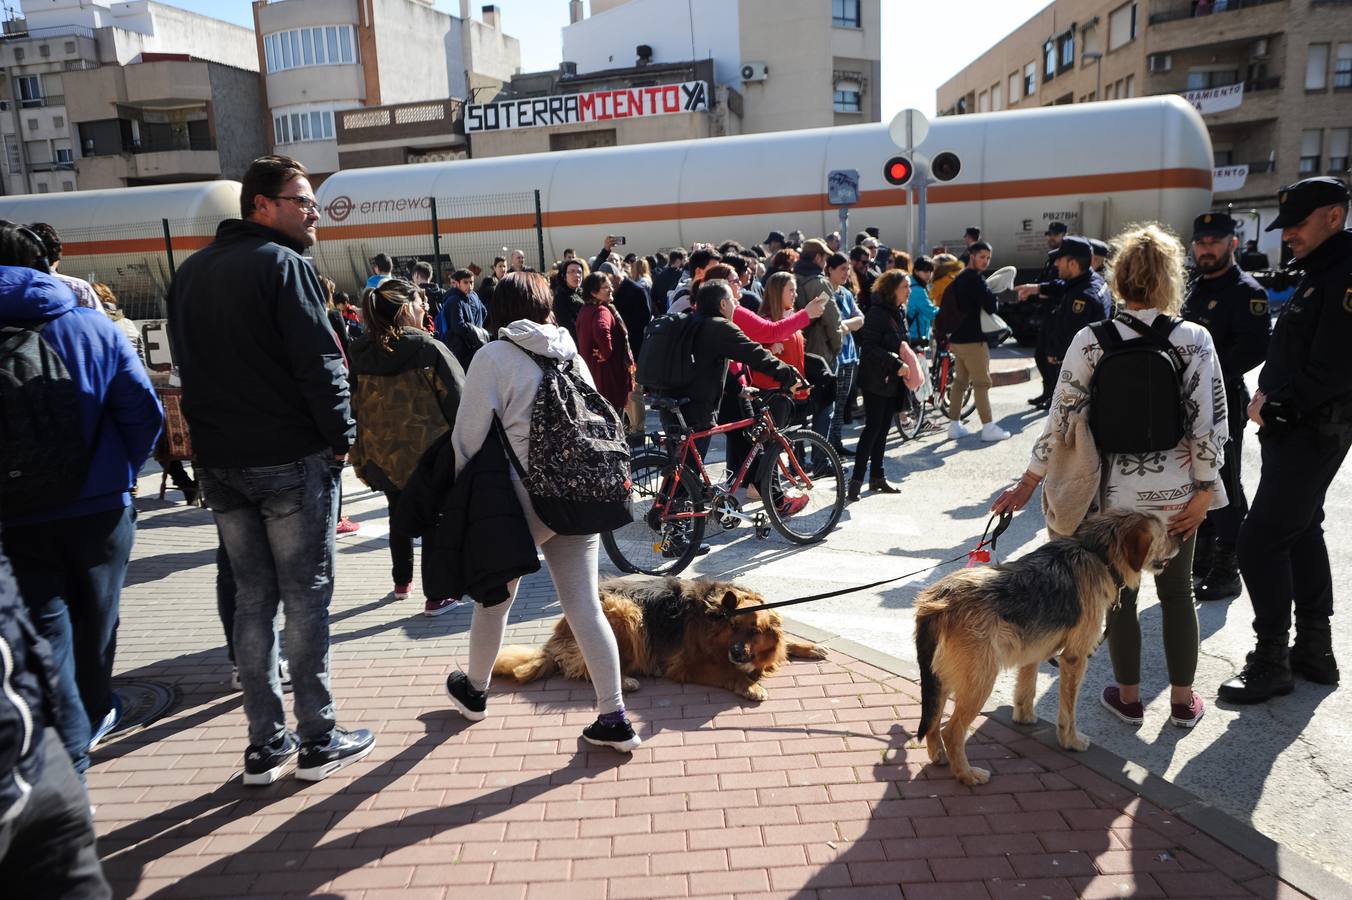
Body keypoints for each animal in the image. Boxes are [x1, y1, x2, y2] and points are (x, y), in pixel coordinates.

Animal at [497, 578, 827, 697]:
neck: (714, 613)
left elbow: (786, 643)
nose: (736, 652)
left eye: (755, 632)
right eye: (733, 626)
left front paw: (809, 647)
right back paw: (626, 681)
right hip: (628, 613)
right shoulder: (688, 665)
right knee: (587, 667)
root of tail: (557, 638)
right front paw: (750, 686)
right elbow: (727, 672)